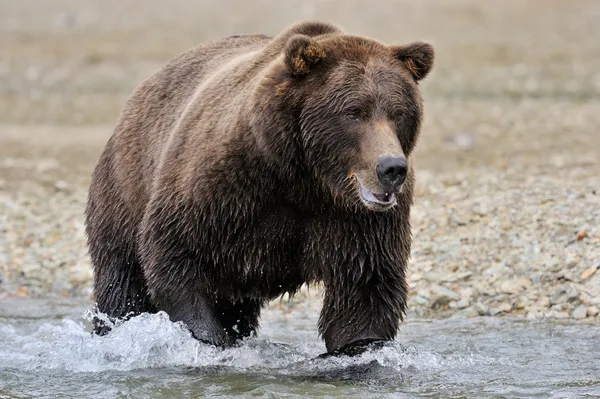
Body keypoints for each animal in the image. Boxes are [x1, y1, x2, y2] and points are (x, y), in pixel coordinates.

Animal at [85, 20, 432, 354]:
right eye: (354, 112)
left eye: (398, 113)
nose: (391, 168)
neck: (304, 178)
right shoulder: (221, 188)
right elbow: (175, 256)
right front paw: (210, 339)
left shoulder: (357, 222)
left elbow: (365, 288)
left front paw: (358, 347)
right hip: (125, 188)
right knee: (122, 283)